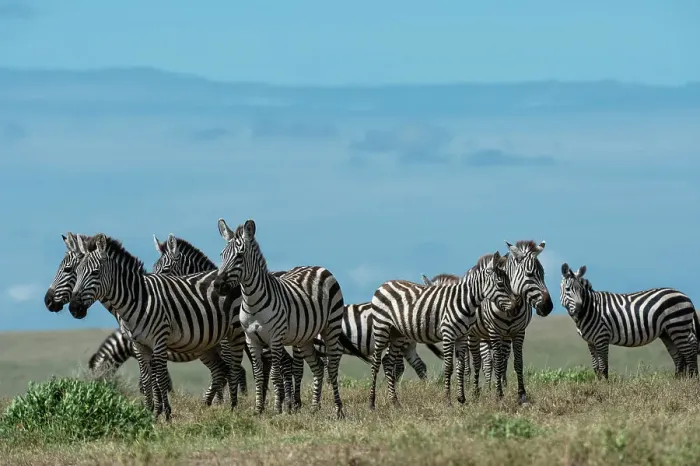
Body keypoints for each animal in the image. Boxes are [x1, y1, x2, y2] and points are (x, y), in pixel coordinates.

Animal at [68, 233, 247, 421]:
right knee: (221, 371)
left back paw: (233, 406)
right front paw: (149, 412)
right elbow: (147, 380)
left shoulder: (159, 342)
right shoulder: (140, 346)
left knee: (234, 369)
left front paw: (165, 413)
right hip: (207, 345)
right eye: (76, 272)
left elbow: (160, 379)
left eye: (95, 273)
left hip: (232, 334)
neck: (138, 299)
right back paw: (209, 405)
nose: (74, 308)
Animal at [213, 218, 363, 418]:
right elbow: (258, 375)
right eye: (222, 255)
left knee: (331, 367)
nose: (218, 285)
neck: (252, 302)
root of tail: (319, 267)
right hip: (305, 337)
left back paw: (339, 409)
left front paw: (277, 409)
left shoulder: (275, 339)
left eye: (240, 256)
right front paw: (258, 409)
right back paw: (314, 408)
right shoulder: (251, 339)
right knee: (318, 366)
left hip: (331, 327)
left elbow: (275, 375)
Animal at [368, 251, 519, 409]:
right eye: (500, 284)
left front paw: (461, 398)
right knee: (376, 363)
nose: (516, 307)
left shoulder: (462, 336)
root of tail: (384, 284)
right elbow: (448, 367)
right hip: (381, 328)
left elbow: (461, 367)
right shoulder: (448, 335)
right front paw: (448, 401)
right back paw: (372, 402)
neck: (465, 302)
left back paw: (395, 402)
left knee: (388, 361)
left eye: (509, 282)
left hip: (397, 334)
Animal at [561, 263, 700, 378]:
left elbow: (603, 367)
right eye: (567, 289)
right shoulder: (591, 342)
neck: (591, 309)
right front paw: (598, 384)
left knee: (689, 353)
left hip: (677, 326)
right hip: (667, 333)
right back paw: (678, 381)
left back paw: (690, 381)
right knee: (679, 357)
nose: (579, 311)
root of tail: (686, 296)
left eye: (581, 290)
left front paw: (605, 386)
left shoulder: (602, 338)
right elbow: (596, 368)